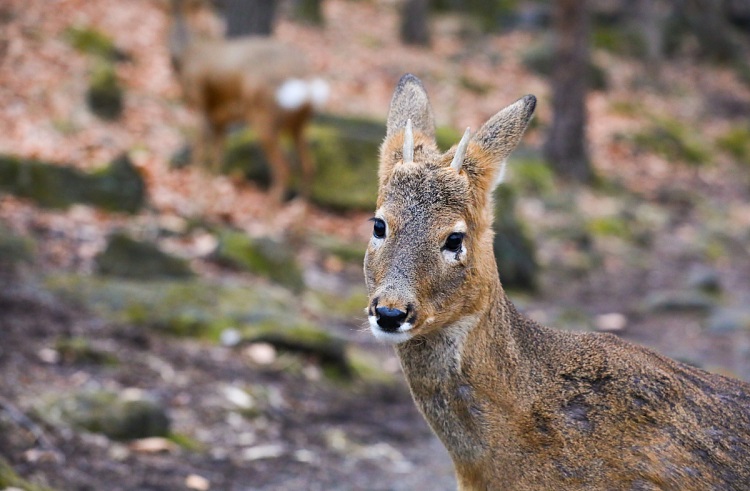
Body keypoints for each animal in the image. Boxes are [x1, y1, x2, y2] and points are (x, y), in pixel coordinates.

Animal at [169, 0, 328, 202]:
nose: (173, 55)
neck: (189, 52)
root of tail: (305, 80)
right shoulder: (219, 119)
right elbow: (216, 160)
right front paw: (209, 199)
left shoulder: (201, 103)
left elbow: (200, 155)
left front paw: (196, 196)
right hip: (298, 124)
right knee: (309, 166)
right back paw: (297, 210)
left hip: (264, 117)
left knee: (284, 169)